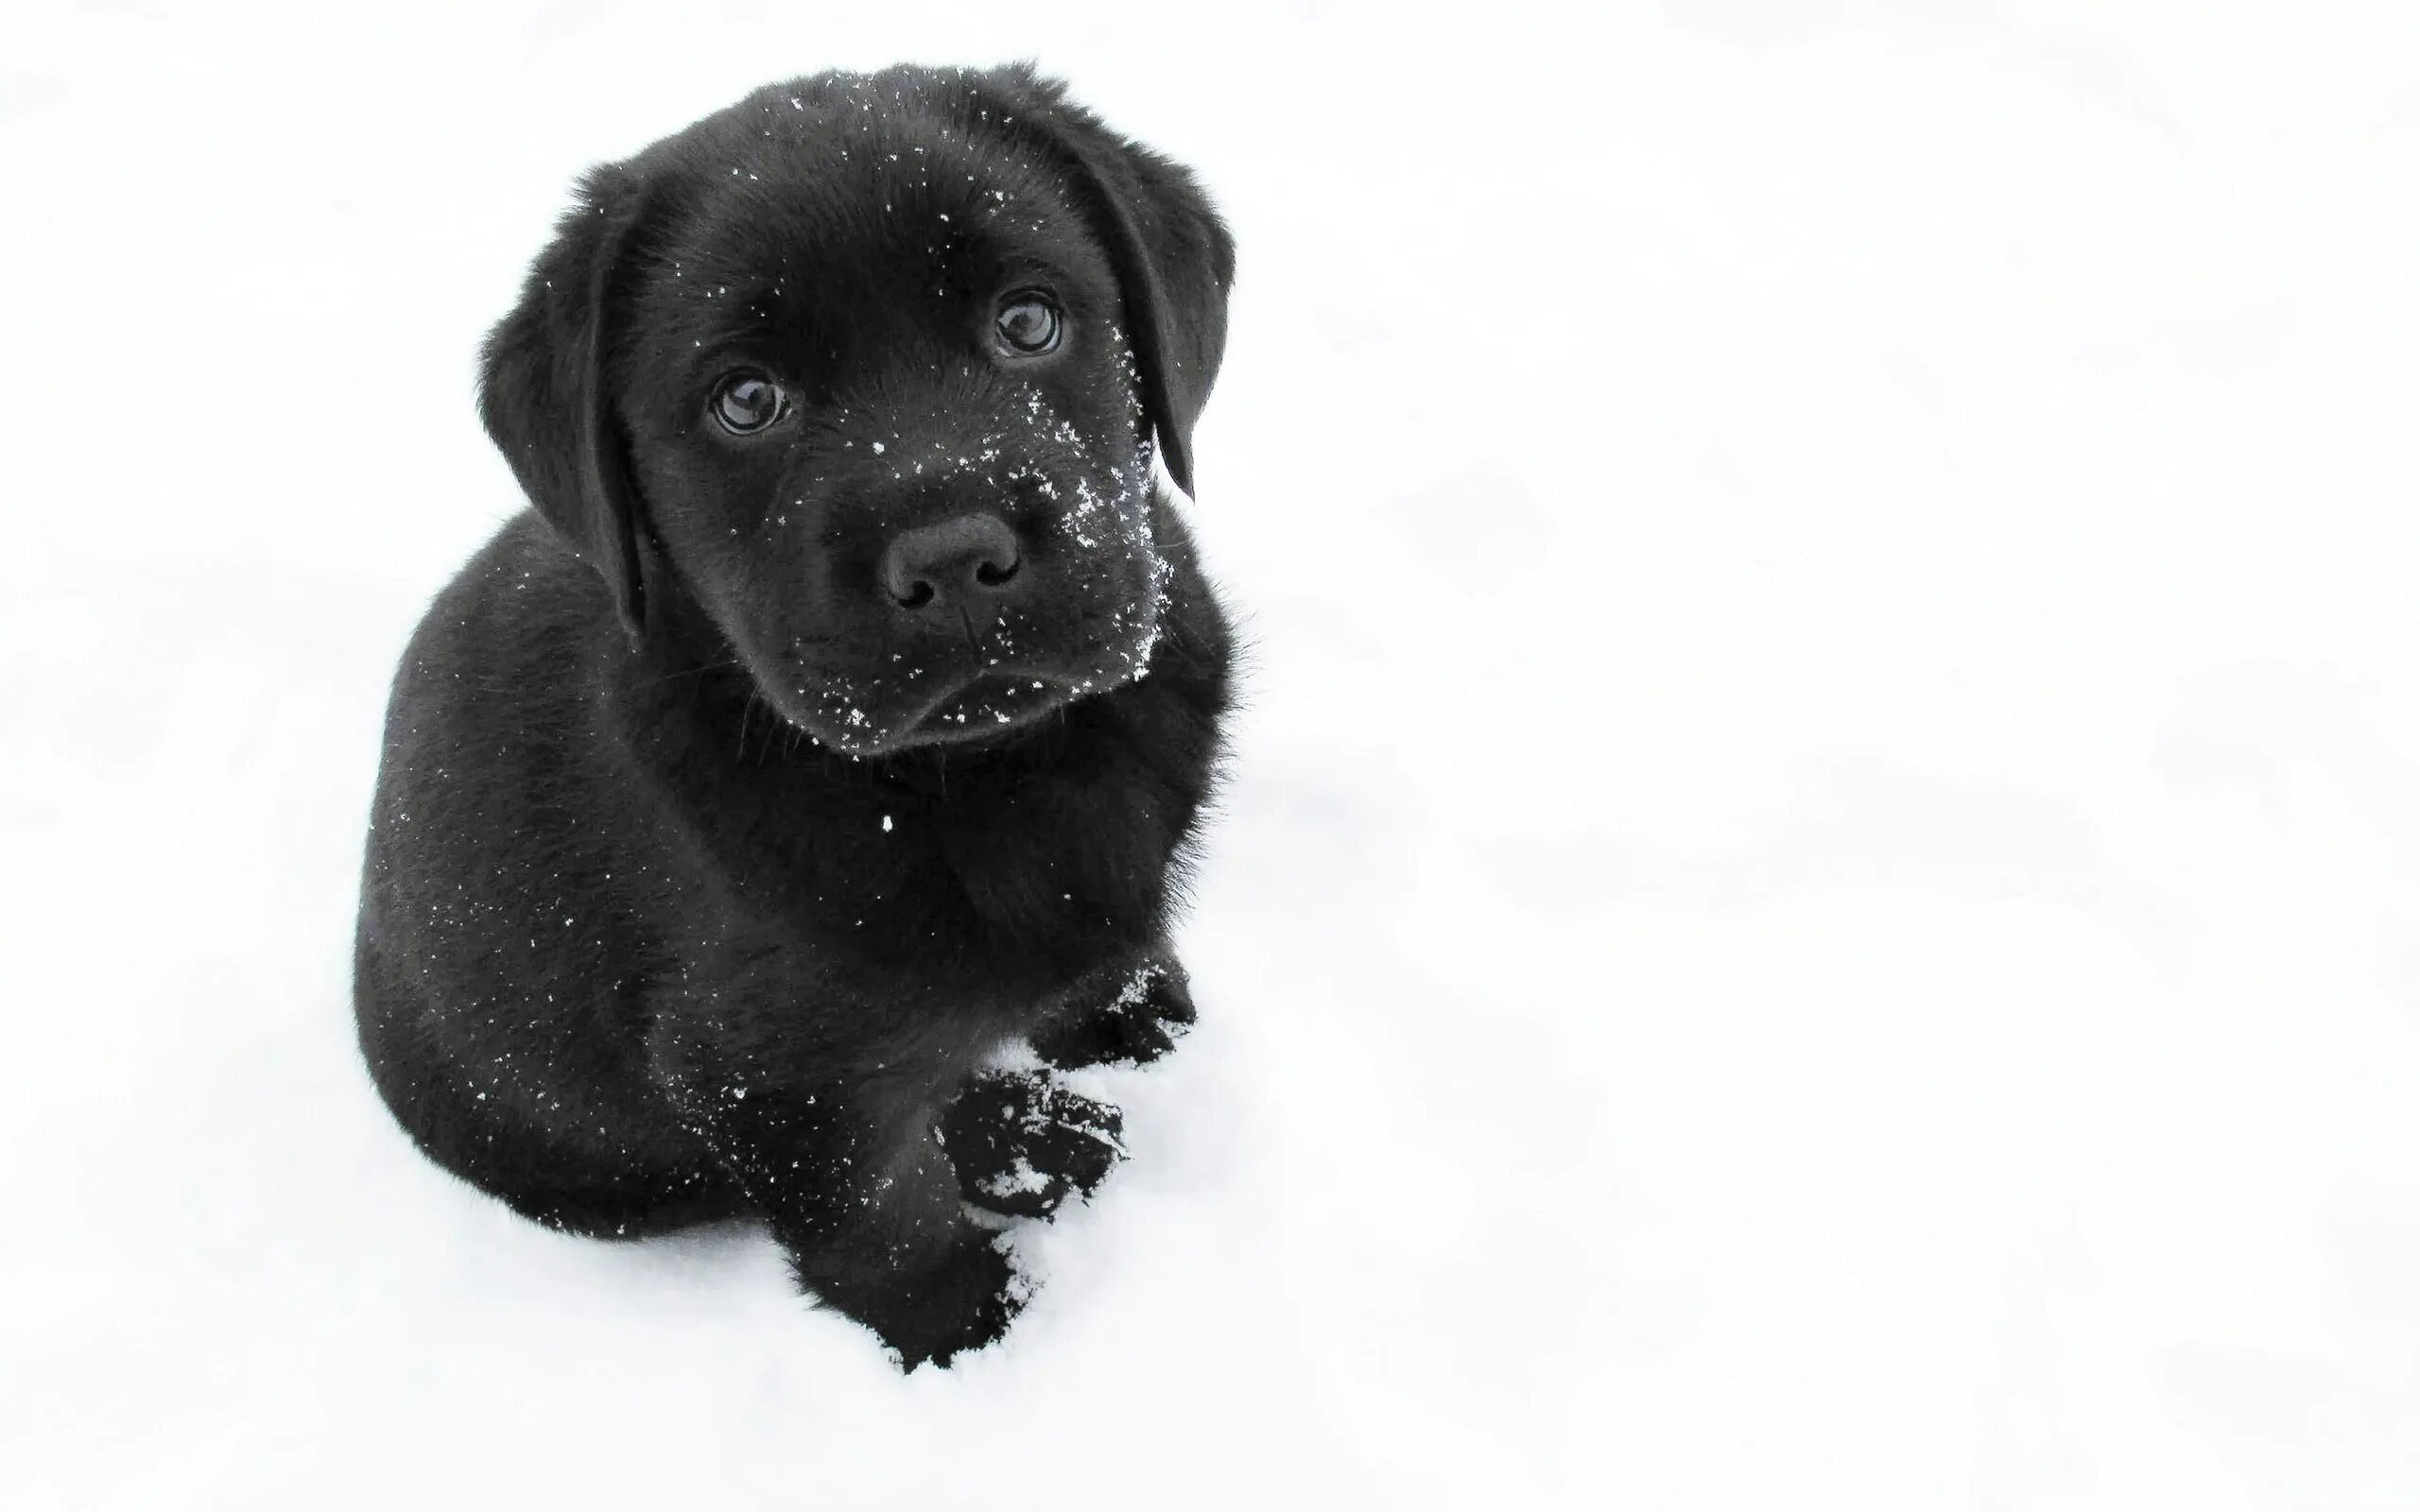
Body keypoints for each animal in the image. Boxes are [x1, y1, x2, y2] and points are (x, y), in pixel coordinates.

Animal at [351, 64, 1238, 1364]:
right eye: (747, 400)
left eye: (1029, 322)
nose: (955, 555)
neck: (981, 772)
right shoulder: (773, 1081)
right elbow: (887, 1218)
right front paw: (972, 1337)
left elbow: (1109, 961)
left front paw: (1149, 1033)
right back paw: (1041, 1139)